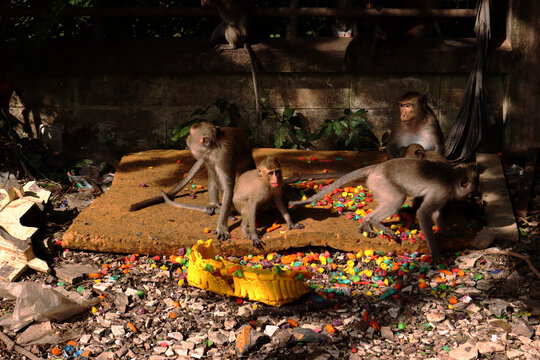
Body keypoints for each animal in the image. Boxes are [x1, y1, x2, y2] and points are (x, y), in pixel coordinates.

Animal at [292, 158, 476, 258]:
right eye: (470, 192)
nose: (471, 199)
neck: (452, 180)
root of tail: (378, 166)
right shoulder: (441, 191)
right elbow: (423, 213)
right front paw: (434, 248)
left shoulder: (443, 195)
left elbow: (436, 214)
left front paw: (447, 232)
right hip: (382, 182)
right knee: (398, 198)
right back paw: (375, 222)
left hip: (376, 184)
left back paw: (366, 223)